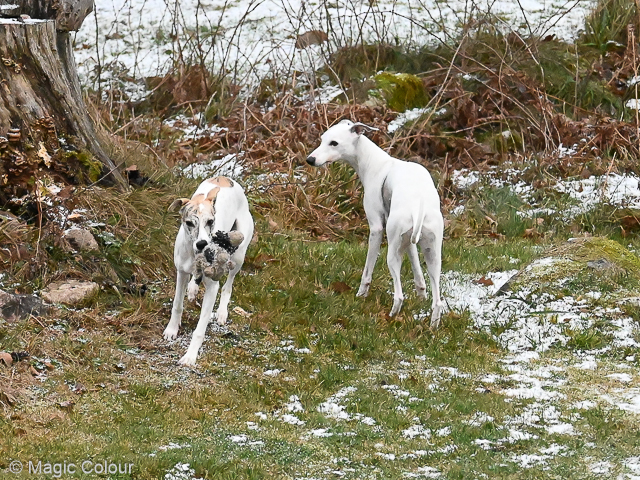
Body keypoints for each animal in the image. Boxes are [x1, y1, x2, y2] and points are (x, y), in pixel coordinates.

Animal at [165, 178, 252, 366]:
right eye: (189, 223)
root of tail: (227, 178)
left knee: (228, 285)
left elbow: (200, 328)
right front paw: (172, 329)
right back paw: (193, 289)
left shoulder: (212, 287)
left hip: (239, 256)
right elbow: (177, 305)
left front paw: (190, 356)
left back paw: (221, 312)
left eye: (210, 221)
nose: (202, 244)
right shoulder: (181, 273)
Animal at [308, 122, 442, 328]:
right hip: (432, 255)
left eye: (334, 143)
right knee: (438, 302)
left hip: (392, 254)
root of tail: (419, 205)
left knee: (399, 296)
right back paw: (433, 326)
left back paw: (391, 317)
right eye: (322, 139)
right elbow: (418, 273)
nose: (310, 159)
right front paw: (421, 296)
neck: (378, 164)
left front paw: (361, 294)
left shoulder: (377, 229)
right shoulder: (408, 243)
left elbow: (367, 271)